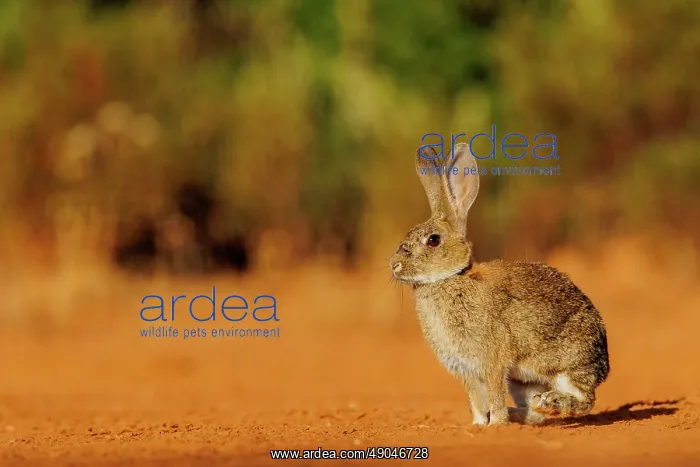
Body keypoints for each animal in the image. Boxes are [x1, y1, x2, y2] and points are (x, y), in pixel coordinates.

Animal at [389, 142, 609, 426]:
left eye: (433, 240)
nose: (394, 265)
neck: (449, 279)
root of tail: (602, 365)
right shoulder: (467, 370)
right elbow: (475, 399)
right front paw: (479, 424)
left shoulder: (491, 358)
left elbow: (493, 393)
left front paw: (496, 424)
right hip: (522, 381)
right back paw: (526, 411)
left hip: (564, 365)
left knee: (585, 401)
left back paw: (550, 403)